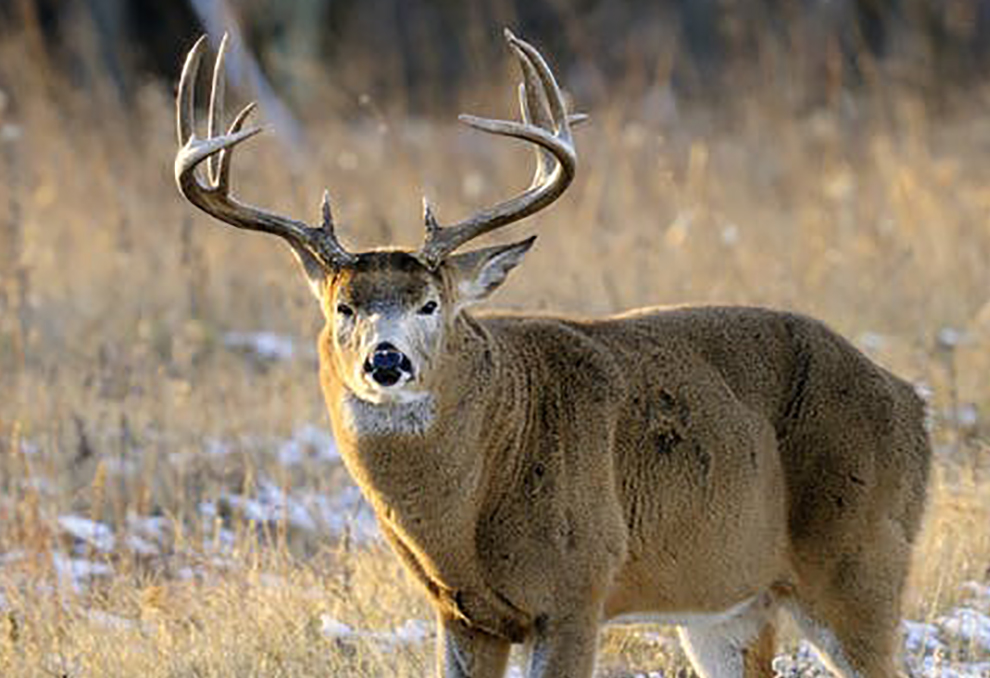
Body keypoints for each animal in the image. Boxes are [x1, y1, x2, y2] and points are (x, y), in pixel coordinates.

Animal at [174, 30, 931, 678]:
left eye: (431, 305)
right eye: (344, 308)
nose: (386, 362)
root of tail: (912, 403)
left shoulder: (578, 584)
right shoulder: (463, 614)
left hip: (860, 556)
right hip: (729, 606)